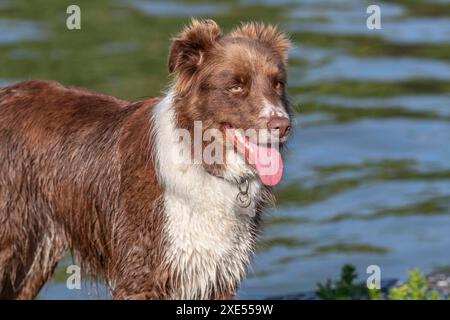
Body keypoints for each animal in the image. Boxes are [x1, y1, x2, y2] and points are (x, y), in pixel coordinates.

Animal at [0, 19, 292, 300]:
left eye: (278, 83)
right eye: (235, 86)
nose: (283, 125)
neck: (202, 161)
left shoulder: (219, 276)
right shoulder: (140, 276)